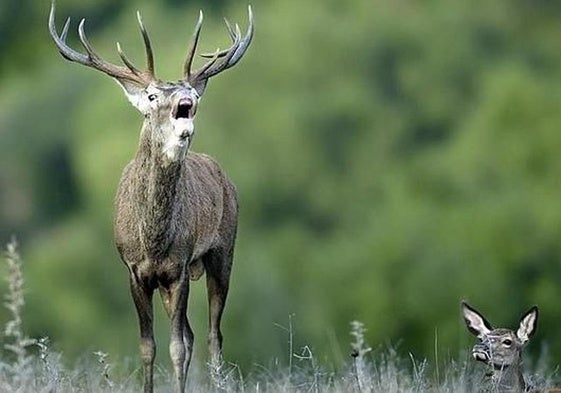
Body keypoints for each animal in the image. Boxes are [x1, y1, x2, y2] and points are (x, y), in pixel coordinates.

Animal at [48, 3, 254, 392]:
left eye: (193, 94)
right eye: (153, 96)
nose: (187, 100)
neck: (154, 240)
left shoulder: (179, 266)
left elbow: (176, 347)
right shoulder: (134, 270)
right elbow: (148, 346)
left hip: (222, 250)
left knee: (212, 334)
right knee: (194, 334)